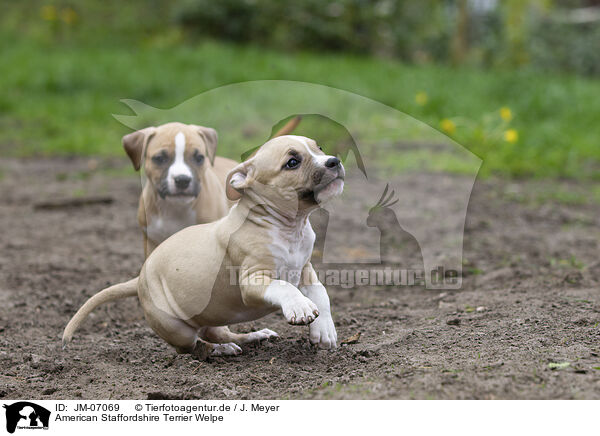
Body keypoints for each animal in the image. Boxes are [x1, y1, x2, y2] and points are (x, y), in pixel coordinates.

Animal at [63, 136, 344, 358]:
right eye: (292, 162)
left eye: (319, 148)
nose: (334, 161)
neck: (288, 228)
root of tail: (140, 277)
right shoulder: (252, 281)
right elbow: (285, 286)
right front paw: (300, 306)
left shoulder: (305, 267)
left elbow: (321, 292)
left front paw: (324, 331)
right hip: (174, 325)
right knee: (191, 347)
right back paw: (220, 350)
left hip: (211, 313)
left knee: (216, 332)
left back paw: (252, 337)